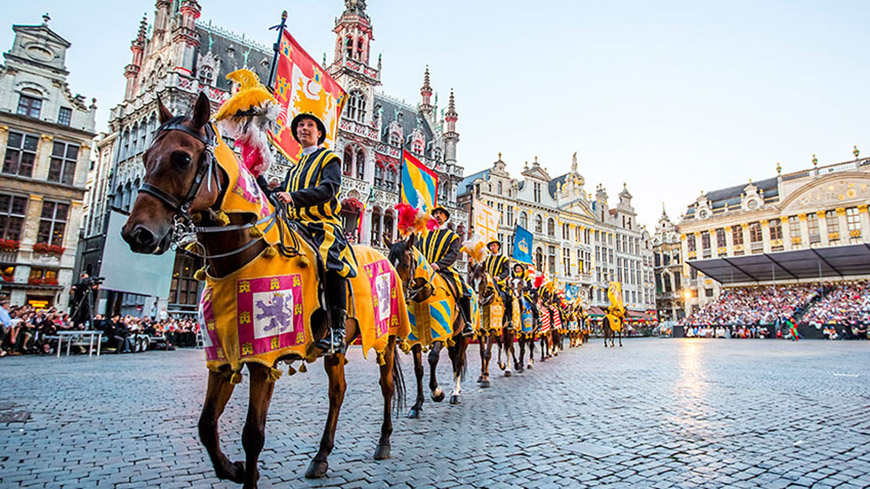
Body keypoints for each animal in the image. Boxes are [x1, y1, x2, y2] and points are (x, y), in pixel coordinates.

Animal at [122, 93, 406, 486]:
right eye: (147, 155)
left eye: (183, 158)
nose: (137, 233)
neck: (242, 257)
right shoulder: (222, 356)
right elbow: (206, 427)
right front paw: (235, 469)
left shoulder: (264, 360)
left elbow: (253, 434)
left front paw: (247, 473)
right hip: (339, 347)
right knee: (338, 392)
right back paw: (320, 457)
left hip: (387, 338)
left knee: (386, 385)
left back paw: (384, 442)